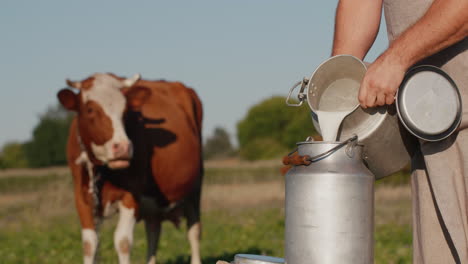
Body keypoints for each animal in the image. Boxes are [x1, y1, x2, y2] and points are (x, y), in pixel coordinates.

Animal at [56, 73, 203, 264]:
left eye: (125, 112)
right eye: (90, 110)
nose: (123, 147)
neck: (103, 171)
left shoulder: (131, 195)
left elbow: (123, 241)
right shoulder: (82, 198)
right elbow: (90, 244)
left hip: (195, 188)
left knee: (194, 231)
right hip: (153, 203)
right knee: (153, 231)